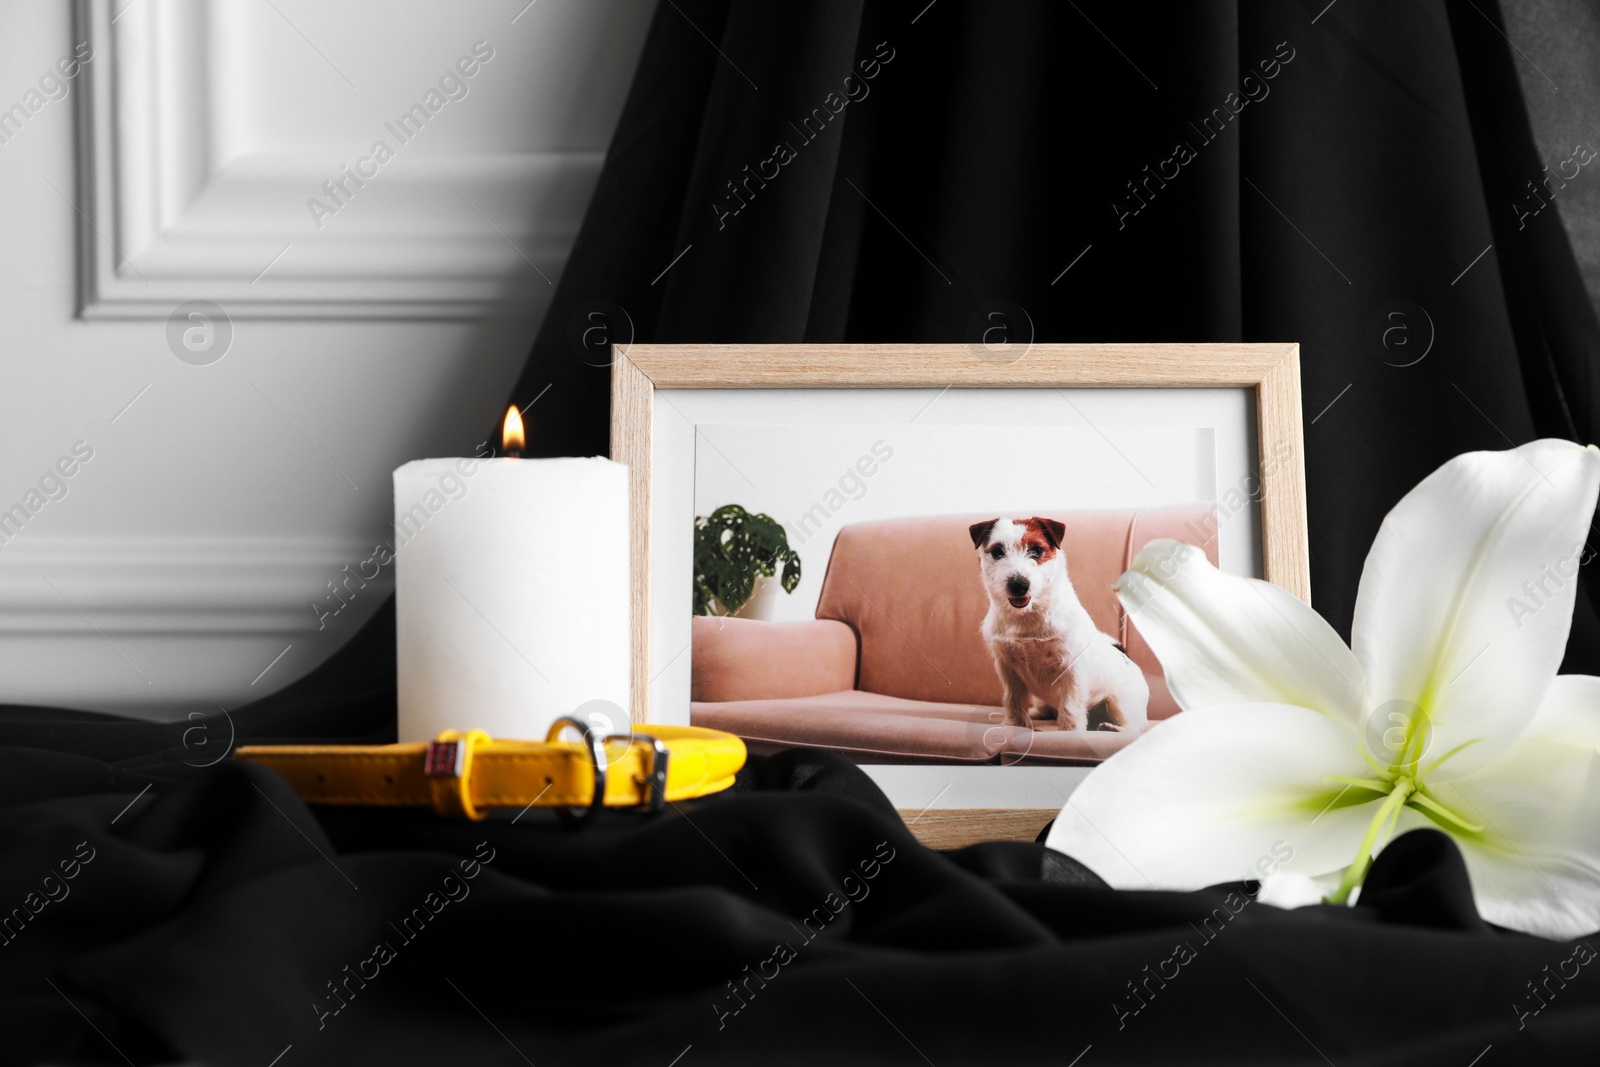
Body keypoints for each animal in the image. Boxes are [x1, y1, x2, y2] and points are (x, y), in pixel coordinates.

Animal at [966, 518, 1145, 735]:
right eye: (998, 552)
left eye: (1036, 550)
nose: (1019, 585)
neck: (1028, 617)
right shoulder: (1007, 668)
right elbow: (1013, 700)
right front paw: (1014, 724)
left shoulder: (1071, 667)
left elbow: (1070, 705)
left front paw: (1070, 732)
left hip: (1119, 703)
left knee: (1133, 727)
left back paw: (1112, 728)